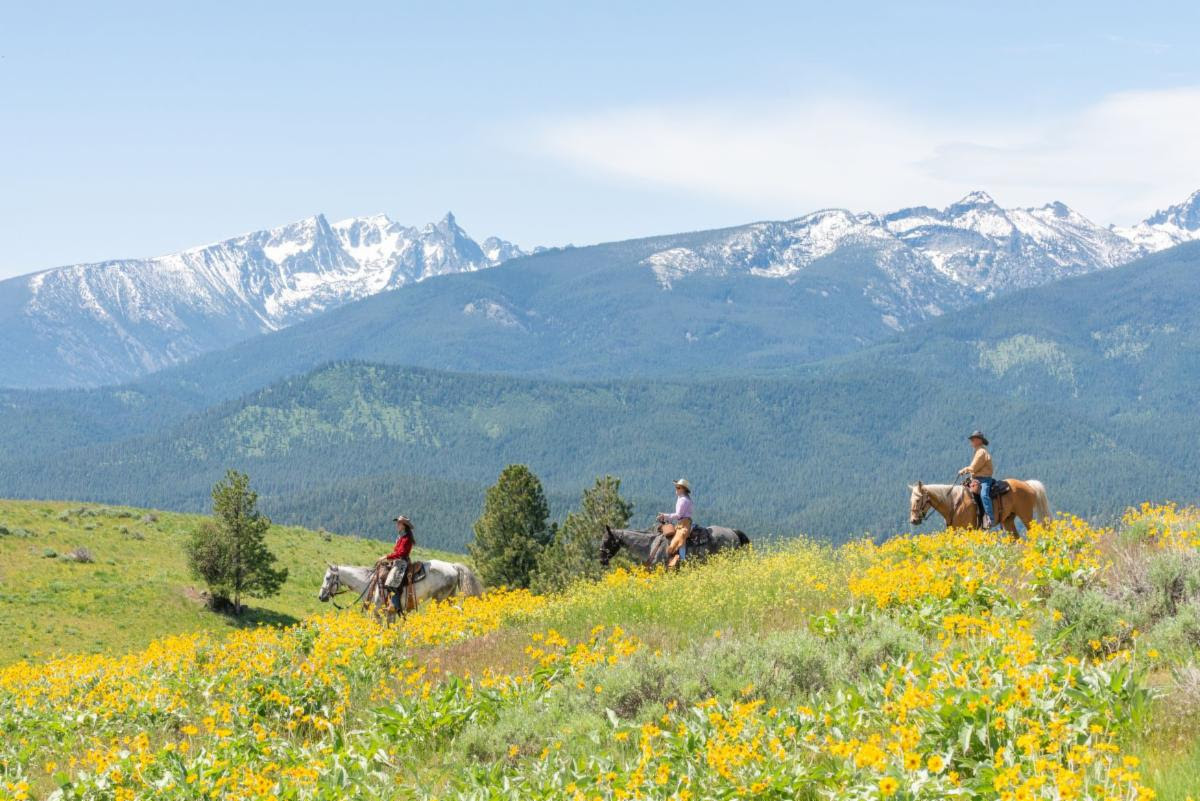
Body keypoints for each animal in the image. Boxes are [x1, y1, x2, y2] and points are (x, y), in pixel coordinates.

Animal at [324, 561, 487, 623]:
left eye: (327, 578)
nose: (321, 596)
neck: (370, 583)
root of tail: (452, 566)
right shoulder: (390, 612)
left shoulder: (378, 612)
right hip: (447, 598)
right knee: (457, 609)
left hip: (439, 599)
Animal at [907, 474, 1051, 537]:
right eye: (911, 500)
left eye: (918, 499)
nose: (913, 520)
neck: (954, 503)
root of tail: (1027, 484)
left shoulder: (967, 529)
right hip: (1008, 520)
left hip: (1026, 516)